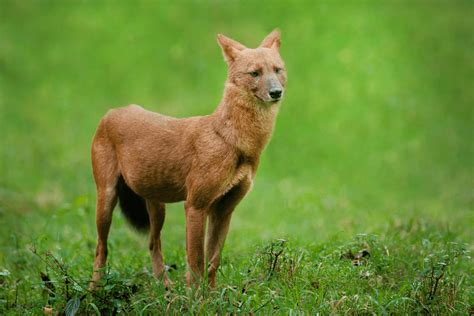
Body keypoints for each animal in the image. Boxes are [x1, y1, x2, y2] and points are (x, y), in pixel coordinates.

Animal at [90, 29, 286, 288]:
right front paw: (195, 297)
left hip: (157, 206)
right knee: (101, 248)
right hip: (107, 198)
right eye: (254, 73)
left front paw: (212, 296)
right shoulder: (195, 205)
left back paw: (166, 290)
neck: (230, 138)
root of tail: (112, 111)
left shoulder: (224, 210)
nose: (276, 92)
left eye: (277, 70)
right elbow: (195, 262)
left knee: (153, 244)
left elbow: (213, 261)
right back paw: (94, 290)